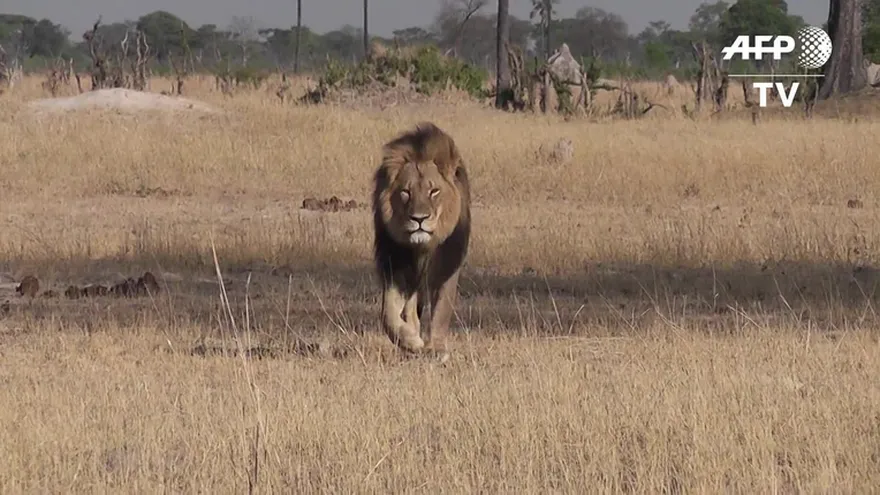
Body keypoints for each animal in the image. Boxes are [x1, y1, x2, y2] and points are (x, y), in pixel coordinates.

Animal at [371, 122, 472, 355]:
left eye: (434, 191)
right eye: (405, 192)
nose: (419, 219)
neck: (422, 248)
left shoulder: (447, 266)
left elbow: (441, 311)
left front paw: (436, 347)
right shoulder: (397, 267)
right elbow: (387, 313)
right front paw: (410, 340)